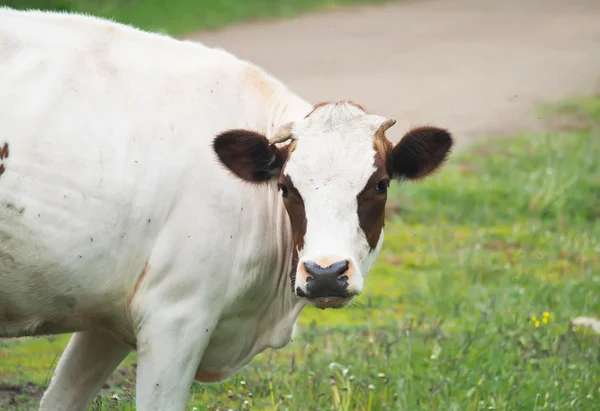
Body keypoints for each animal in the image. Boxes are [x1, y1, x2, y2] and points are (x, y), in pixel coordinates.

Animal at [0, 7, 452, 411]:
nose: (325, 274)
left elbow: (61, 399)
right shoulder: (174, 317)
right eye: (286, 187)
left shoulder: (109, 321)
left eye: (380, 185)